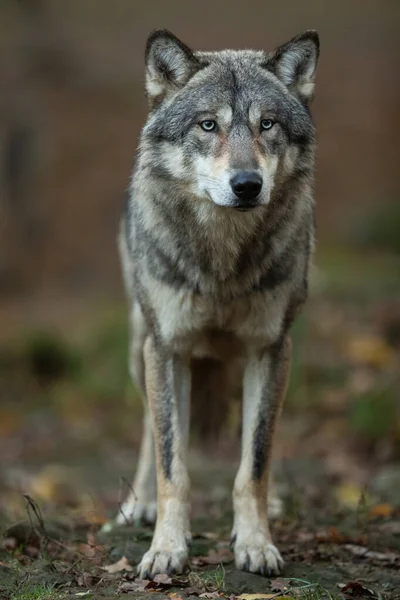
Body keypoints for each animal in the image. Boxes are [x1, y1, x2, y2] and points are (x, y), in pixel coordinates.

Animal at [115, 27, 318, 576]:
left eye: (267, 124)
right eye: (209, 125)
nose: (247, 185)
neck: (222, 263)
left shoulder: (271, 349)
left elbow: (255, 461)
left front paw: (255, 543)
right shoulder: (167, 349)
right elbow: (172, 463)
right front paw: (166, 549)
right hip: (141, 349)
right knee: (149, 428)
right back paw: (138, 504)